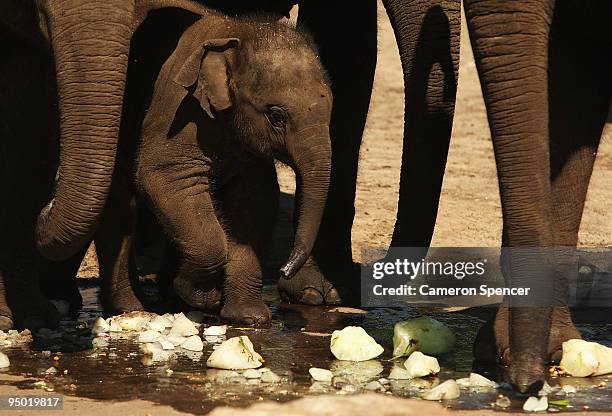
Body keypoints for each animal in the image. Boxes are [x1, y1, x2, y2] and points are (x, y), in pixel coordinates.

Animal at [101, 9, 330, 324]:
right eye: (276, 116)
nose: (283, 270)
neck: (238, 32)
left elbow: (253, 201)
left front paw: (249, 319)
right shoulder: (176, 109)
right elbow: (163, 178)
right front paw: (203, 299)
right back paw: (132, 308)